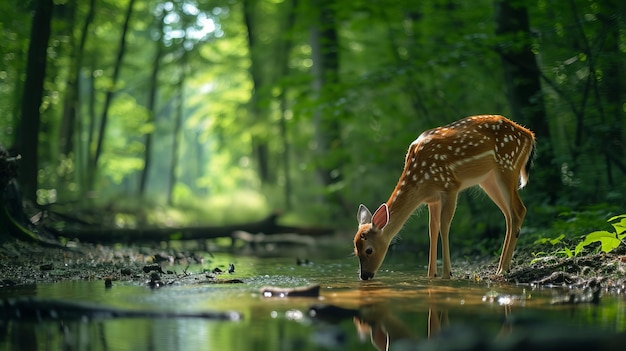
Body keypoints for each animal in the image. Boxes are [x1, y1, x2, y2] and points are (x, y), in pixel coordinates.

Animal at [354, 115, 532, 280]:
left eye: (369, 250)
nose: (365, 276)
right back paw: (501, 267)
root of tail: (529, 134)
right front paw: (431, 275)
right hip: (488, 179)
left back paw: (503, 269)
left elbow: (444, 226)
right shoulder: (432, 199)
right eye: (355, 250)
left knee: (518, 210)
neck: (420, 180)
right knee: (509, 215)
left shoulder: (450, 186)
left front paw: (447, 274)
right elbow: (433, 229)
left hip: (507, 166)